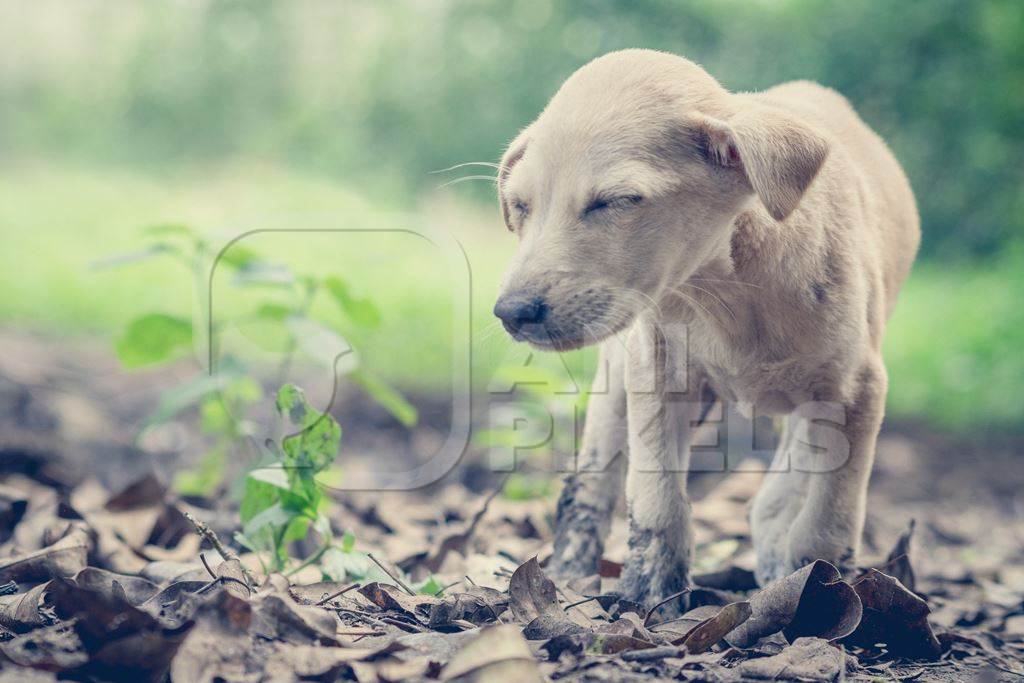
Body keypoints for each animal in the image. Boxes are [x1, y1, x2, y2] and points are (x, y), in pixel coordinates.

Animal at [491, 48, 917, 606]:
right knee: (588, 486)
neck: (727, 295)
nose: (511, 312)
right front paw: (649, 591)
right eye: (521, 206)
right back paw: (568, 569)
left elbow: (826, 517)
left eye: (616, 201)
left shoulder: (856, 390)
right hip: (616, 380)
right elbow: (656, 496)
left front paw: (822, 593)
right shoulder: (655, 369)